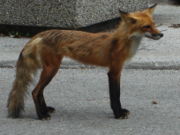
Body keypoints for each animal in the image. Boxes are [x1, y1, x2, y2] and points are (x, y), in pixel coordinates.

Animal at [7, 3, 163, 120]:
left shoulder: (116, 70)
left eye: (154, 24)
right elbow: (115, 94)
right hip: (52, 68)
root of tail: (41, 33)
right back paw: (41, 115)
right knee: (35, 92)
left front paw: (119, 112)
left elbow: (116, 94)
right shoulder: (114, 70)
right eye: (146, 27)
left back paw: (46, 110)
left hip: (51, 68)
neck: (121, 42)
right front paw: (118, 114)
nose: (161, 34)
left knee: (40, 92)